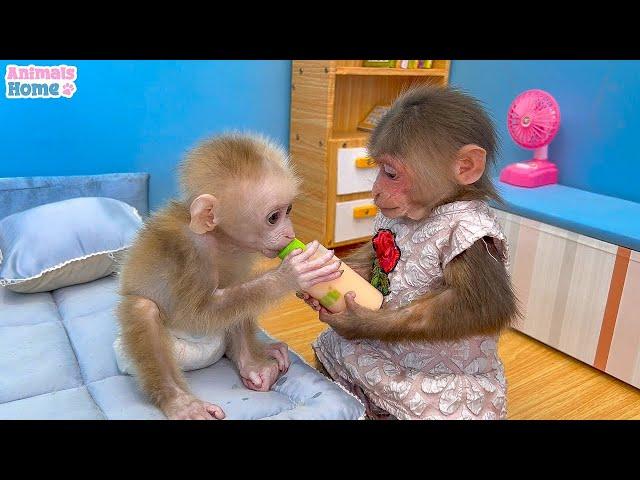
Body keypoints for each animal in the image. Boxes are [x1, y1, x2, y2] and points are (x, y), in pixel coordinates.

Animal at [117, 133, 342, 418]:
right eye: (273, 218)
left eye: (289, 210)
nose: (290, 235)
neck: (219, 237)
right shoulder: (191, 255)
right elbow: (197, 313)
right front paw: (291, 274)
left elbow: (235, 297)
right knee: (142, 308)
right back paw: (180, 401)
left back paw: (252, 362)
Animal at [304, 86, 520, 420]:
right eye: (378, 169)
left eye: (391, 173)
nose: (376, 190)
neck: (436, 208)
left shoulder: (472, 239)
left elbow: (481, 306)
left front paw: (358, 321)